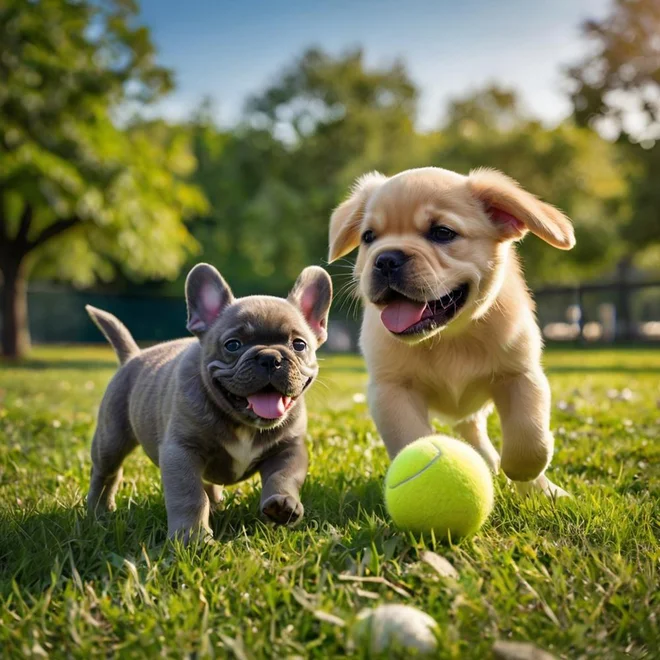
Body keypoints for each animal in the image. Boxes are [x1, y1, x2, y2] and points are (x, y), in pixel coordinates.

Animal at [85, 260, 332, 540]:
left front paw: (283, 505)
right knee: (106, 472)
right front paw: (192, 537)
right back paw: (98, 511)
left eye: (299, 345)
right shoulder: (181, 451)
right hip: (111, 438)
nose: (270, 358)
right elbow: (190, 496)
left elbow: (283, 477)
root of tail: (133, 356)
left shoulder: (289, 450)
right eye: (233, 345)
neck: (244, 423)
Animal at [328, 168, 576, 498]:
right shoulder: (391, 390)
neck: (449, 336)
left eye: (442, 233)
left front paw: (525, 477)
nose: (385, 259)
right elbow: (411, 438)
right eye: (368, 237)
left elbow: (528, 438)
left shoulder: (521, 376)